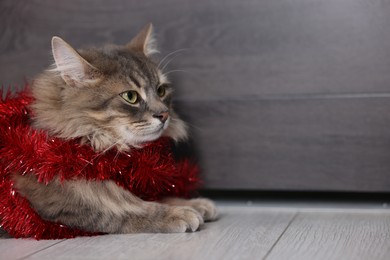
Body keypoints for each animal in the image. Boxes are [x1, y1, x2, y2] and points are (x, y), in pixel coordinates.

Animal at [10, 24, 218, 235]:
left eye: (161, 91)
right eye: (130, 96)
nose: (164, 115)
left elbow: (152, 197)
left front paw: (193, 203)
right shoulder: (53, 193)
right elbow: (124, 209)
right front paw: (178, 213)